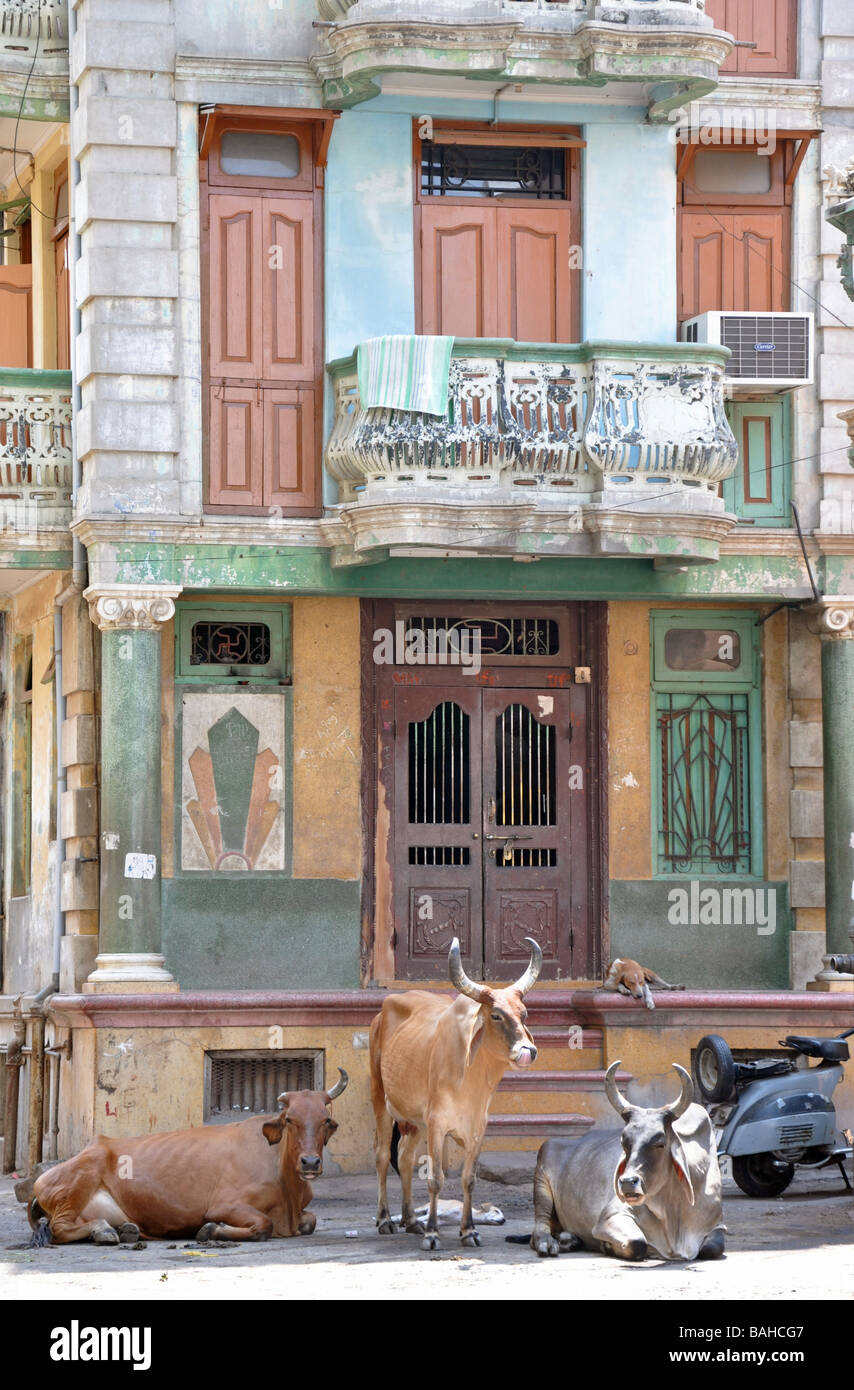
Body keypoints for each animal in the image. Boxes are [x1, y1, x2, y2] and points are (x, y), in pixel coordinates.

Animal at [27, 1067, 347, 1245]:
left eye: (325, 1120)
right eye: (290, 1119)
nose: (310, 1162)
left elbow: (311, 1220)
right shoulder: (226, 1204)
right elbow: (262, 1225)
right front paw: (211, 1230)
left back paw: (122, 1229)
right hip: (79, 1180)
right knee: (59, 1228)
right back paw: (104, 1231)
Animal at [372, 939, 542, 1256]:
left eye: (524, 1013)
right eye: (495, 1015)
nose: (528, 1051)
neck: (470, 1082)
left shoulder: (477, 1130)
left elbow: (469, 1179)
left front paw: (468, 1231)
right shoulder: (437, 1125)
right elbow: (436, 1180)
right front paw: (432, 1233)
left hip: (415, 1121)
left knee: (404, 1157)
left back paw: (411, 1220)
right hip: (381, 1100)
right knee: (382, 1156)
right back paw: (385, 1219)